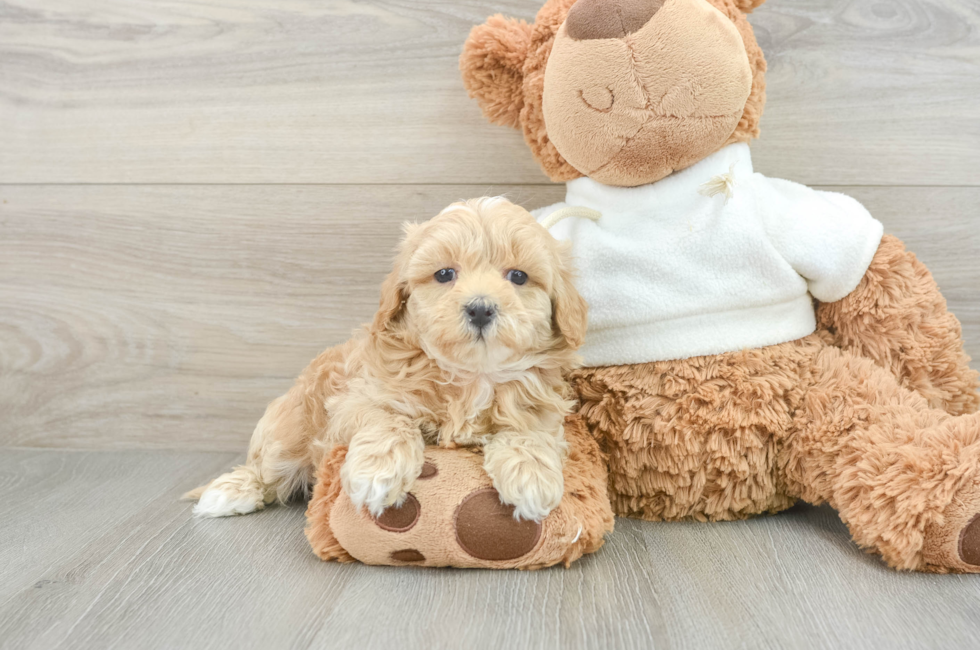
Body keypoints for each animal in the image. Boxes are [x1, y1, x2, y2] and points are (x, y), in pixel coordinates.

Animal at [187, 195, 588, 520]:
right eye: (445, 273)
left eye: (518, 276)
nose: (480, 308)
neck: (471, 376)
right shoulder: (358, 398)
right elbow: (389, 420)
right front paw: (377, 473)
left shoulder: (540, 408)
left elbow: (528, 432)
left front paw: (531, 476)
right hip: (289, 428)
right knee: (268, 468)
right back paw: (229, 492)